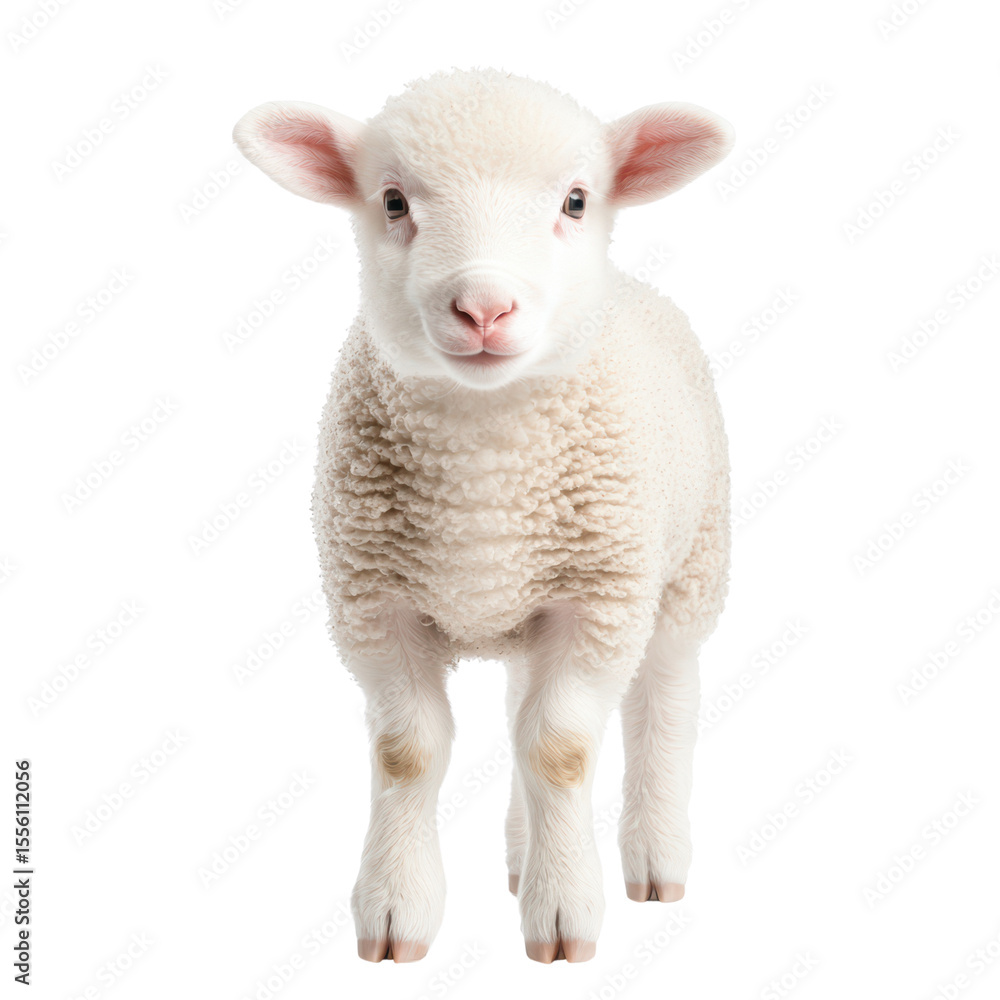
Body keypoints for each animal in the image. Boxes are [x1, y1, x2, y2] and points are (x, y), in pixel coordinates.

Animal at [233, 67, 734, 965]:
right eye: (393, 201)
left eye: (576, 200)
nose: (484, 307)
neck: (484, 466)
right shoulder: (374, 602)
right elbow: (408, 751)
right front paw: (397, 909)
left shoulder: (600, 599)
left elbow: (560, 748)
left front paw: (565, 911)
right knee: (517, 707)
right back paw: (517, 856)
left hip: (689, 562)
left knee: (665, 698)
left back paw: (654, 858)